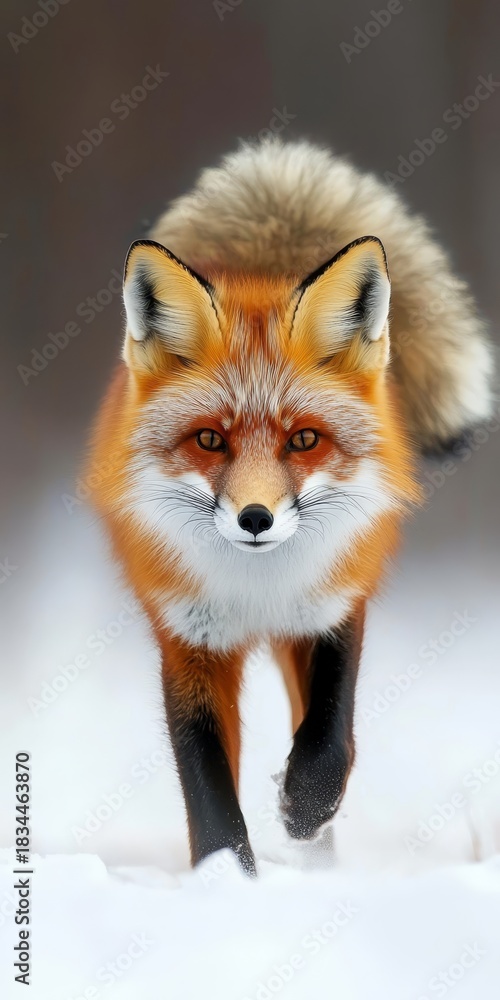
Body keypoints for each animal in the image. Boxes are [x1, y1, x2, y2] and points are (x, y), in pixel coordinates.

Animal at [89, 139, 493, 875]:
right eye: (210, 440)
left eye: (303, 439)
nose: (256, 518)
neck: (257, 590)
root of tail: (260, 265)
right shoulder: (189, 640)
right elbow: (209, 790)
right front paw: (229, 878)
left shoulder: (331, 612)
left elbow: (331, 741)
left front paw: (304, 809)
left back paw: (318, 856)